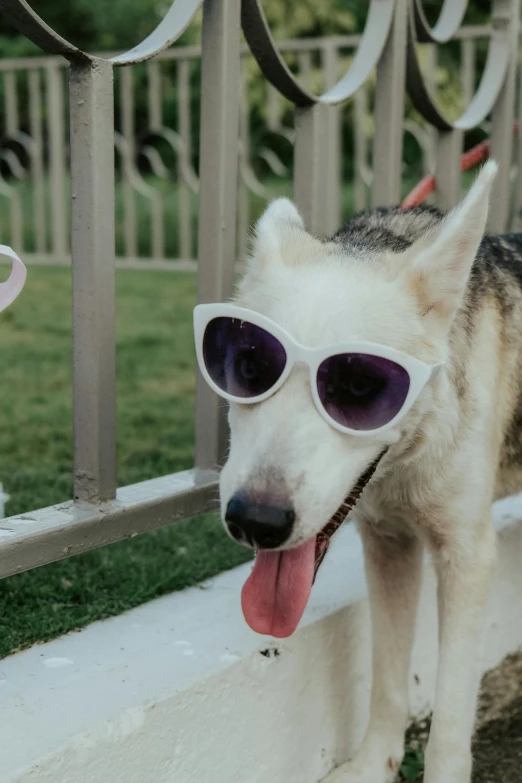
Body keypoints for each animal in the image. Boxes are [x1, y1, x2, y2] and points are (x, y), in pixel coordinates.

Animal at [194, 161, 520, 783]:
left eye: (362, 387)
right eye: (248, 366)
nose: (256, 522)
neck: (406, 464)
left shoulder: (466, 557)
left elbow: (449, 721)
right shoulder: (390, 546)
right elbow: (387, 681)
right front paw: (373, 764)